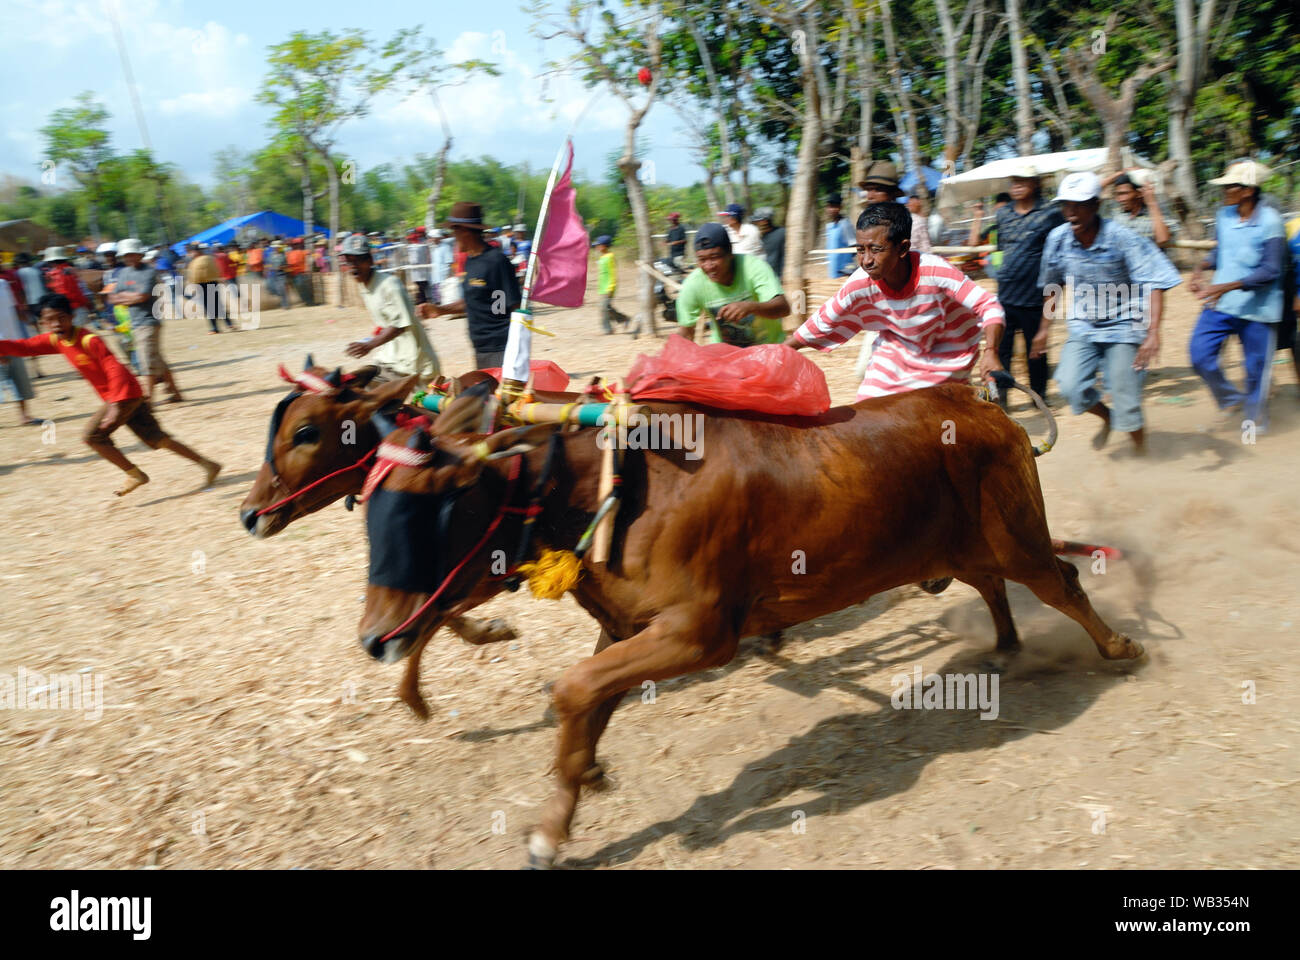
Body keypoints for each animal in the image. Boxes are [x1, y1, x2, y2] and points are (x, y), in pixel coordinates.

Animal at [358, 382, 1149, 868]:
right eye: (369, 508)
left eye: (425, 513)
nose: (375, 637)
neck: (618, 484)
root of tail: (975, 399)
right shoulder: (628, 629)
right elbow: (586, 703)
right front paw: (565, 809)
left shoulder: (699, 633)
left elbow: (572, 691)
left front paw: (563, 810)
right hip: (962, 542)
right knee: (994, 583)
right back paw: (1007, 646)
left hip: (1014, 531)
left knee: (1061, 579)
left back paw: (1119, 646)